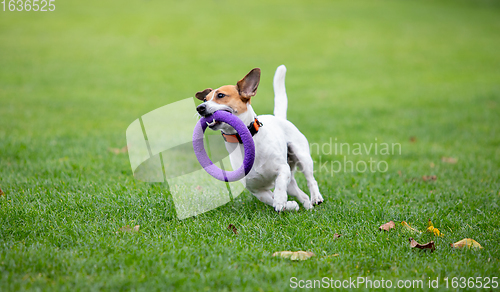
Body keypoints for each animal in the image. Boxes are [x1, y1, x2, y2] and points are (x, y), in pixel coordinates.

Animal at [195, 65, 324, 212]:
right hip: (291, 182)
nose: (199, 108)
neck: (243, 140)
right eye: (205, 100)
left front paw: (280, 200)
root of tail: (279, 118)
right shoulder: (257, 190)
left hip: (302, 156)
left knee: (310, 179)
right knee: (300, 193)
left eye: (220, 95)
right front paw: (288, 205)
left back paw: (316, 197)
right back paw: (307, 205)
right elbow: (270, 199)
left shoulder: (282, 168)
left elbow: (280, 186)